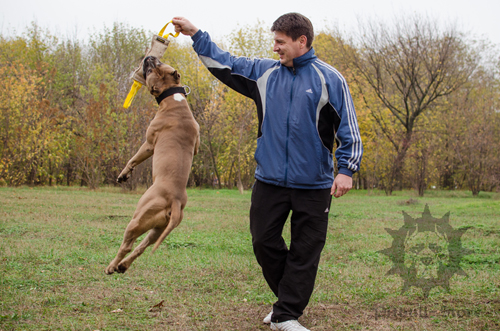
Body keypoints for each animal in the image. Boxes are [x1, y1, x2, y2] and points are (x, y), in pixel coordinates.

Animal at [105, 56, 199, 274]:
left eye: (154, 67)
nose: (150, 57)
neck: (173, 97)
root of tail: (174, 200)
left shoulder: (148, 144)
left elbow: (133, 158)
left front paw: (124, 174)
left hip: (137, 219)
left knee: (127, 245)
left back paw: (112, 266)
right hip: (157, 229)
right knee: (142, 247)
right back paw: (123, 265)